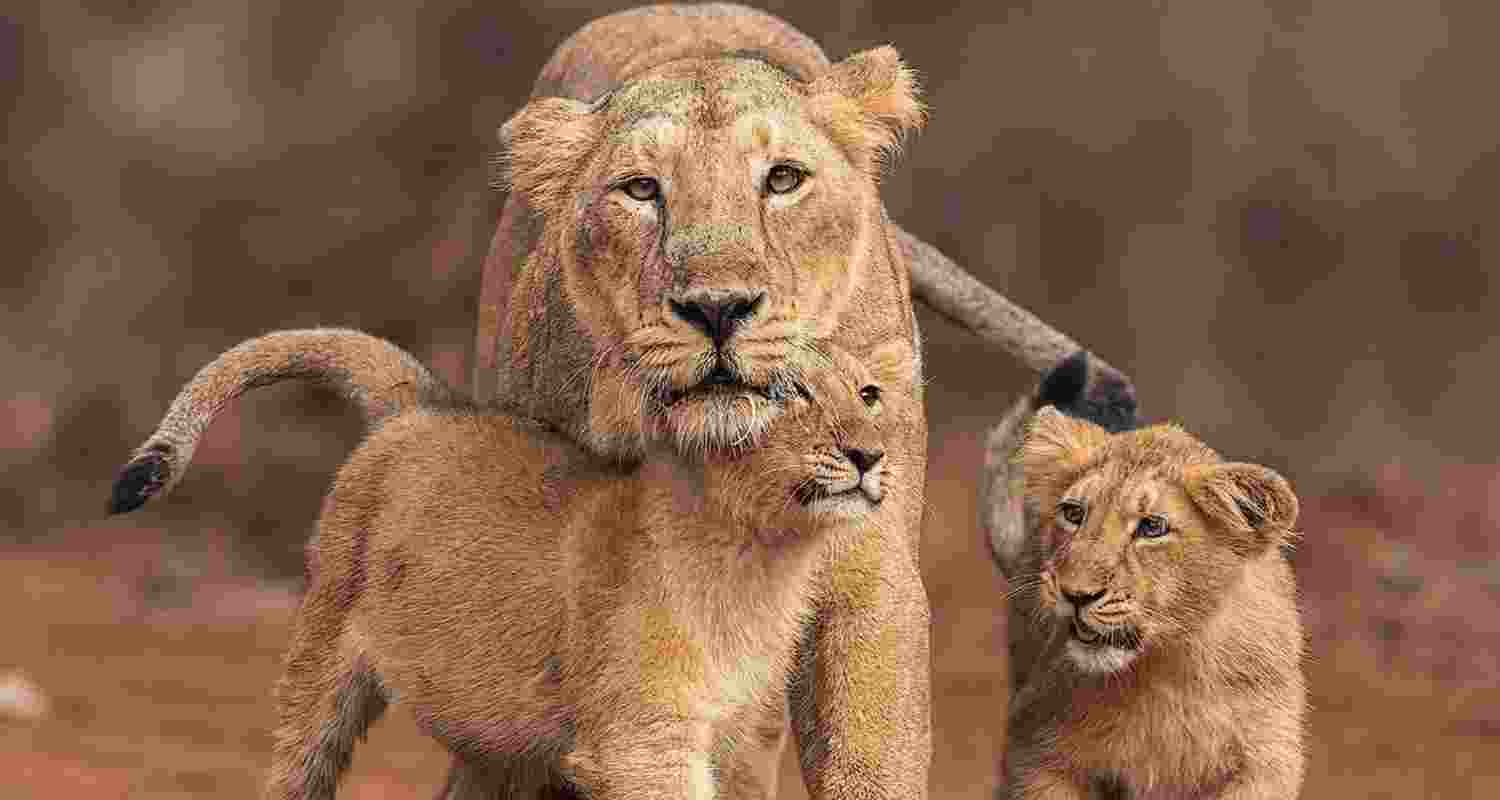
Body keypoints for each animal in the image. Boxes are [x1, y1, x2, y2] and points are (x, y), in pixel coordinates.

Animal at [109, 327, 915, 799]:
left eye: (869, 394)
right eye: (787, 394)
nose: (871, 455)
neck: (763, 559)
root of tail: (427, 405)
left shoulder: (736, 742)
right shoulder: (639, 744)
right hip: (322, 666)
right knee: (294, 768)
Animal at [986, 398, 1306, 799]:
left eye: (1152, 527)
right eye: (1074, 513)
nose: (1076, 595)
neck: (1163, 674)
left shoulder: (1265, 757)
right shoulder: (1038, 749)